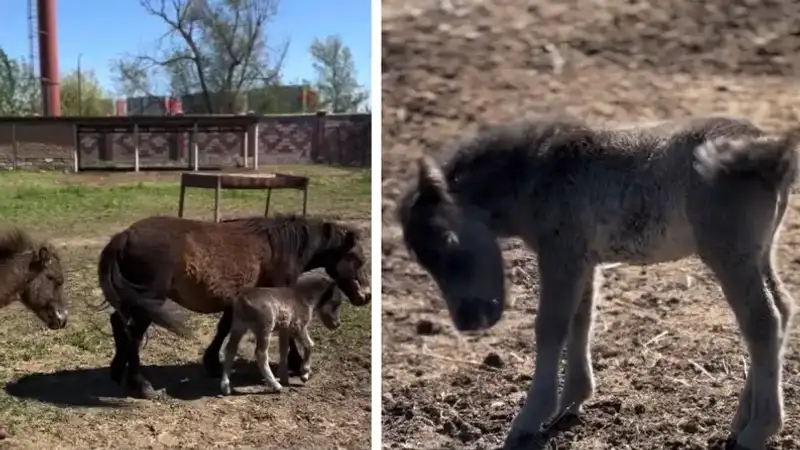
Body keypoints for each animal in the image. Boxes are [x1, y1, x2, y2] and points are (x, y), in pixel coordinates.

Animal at [97, 214, 372, 398]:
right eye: (357, 259)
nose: (366, 296)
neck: (281, 247)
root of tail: (125, 236)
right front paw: (298, 366)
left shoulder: (238, 301)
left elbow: (224, 329)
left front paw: (212, 364)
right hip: (149, 302)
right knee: (133, 335)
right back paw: (142, 385)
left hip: (135, 300)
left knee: (119, 323)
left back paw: (117, 372)